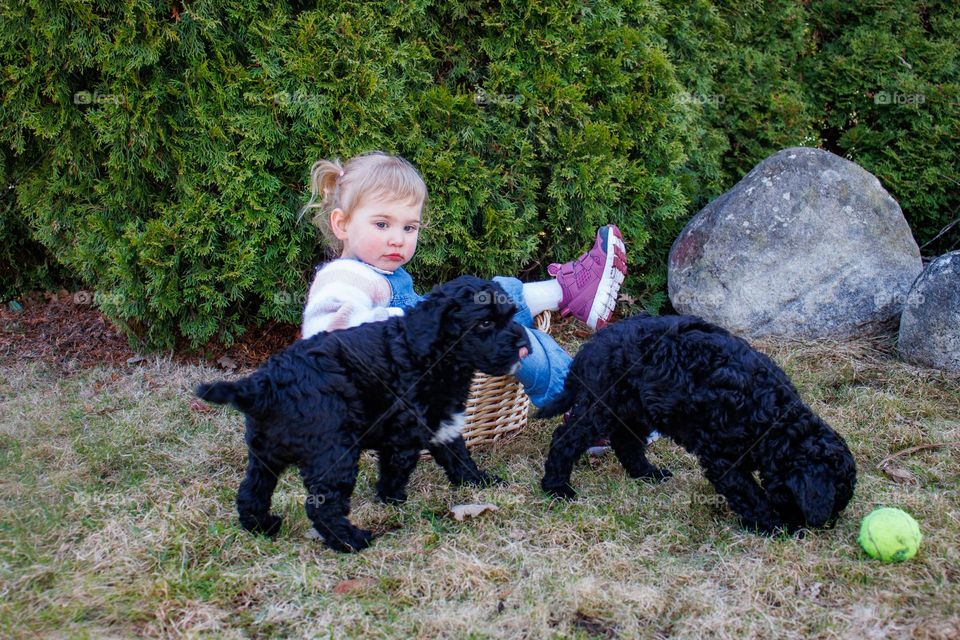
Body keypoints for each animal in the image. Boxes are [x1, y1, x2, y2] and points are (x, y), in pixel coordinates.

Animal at [194, 276, 524, 552]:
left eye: (510, 316)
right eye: (485, 323)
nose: (523, 344)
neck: (431, 352)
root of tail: (265, 384)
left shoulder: (443, 421)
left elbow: (458, 456)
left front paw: (479, 481)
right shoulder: (404, 431)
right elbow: (397, 468)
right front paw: (392, 499)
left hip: (264, 454)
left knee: (251, 492)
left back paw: (262, 527)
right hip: (334, 453)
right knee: (320, 505)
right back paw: (351, 540)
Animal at [536, 312, 860, 532]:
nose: (827, 526)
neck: (773, 420)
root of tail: (589, 348)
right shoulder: (723, 459)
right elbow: (748, 492)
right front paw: (772, 524)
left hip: (636, 408)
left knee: (626, 442)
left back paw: (647, 473)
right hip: (602, 405)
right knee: (565, 438)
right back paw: (557, 487)